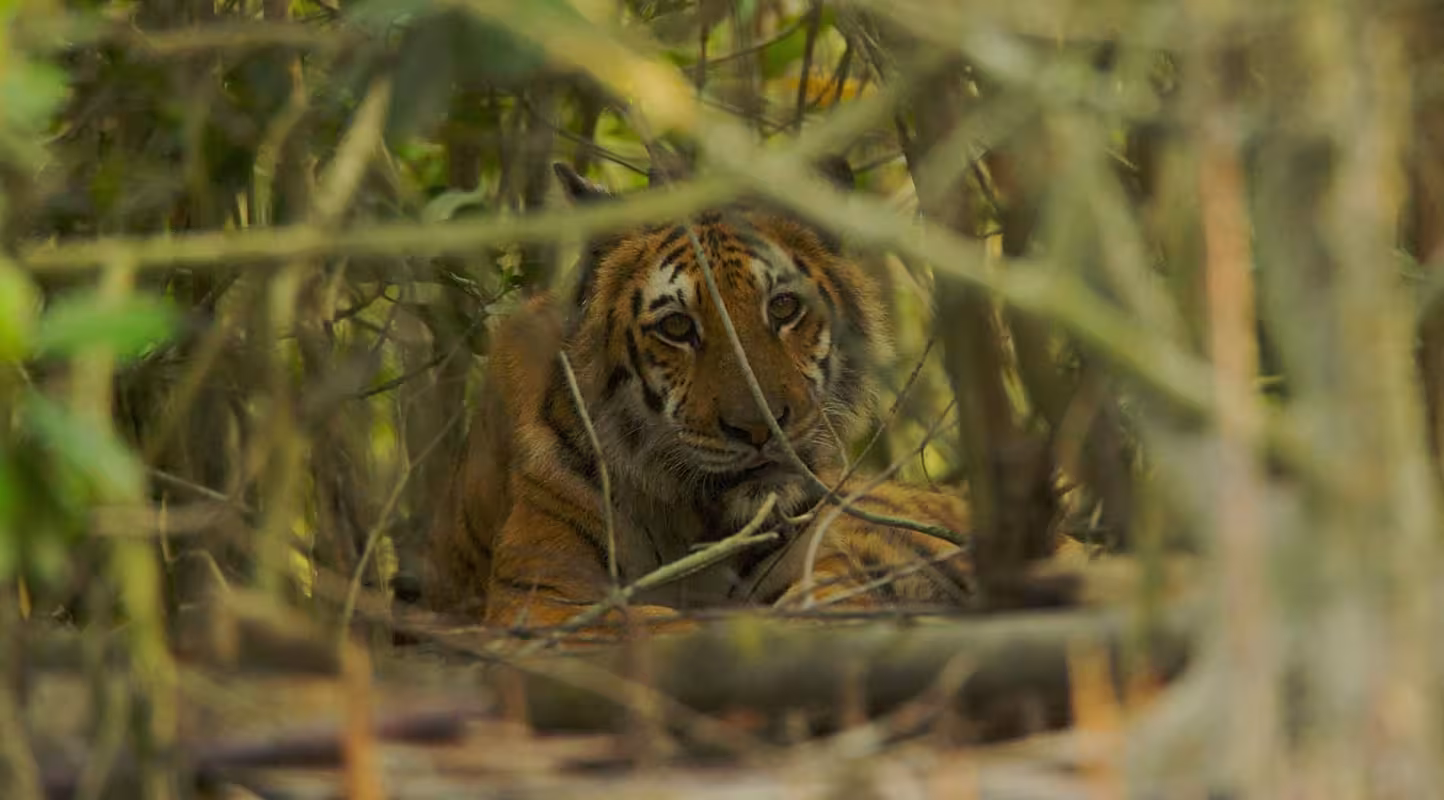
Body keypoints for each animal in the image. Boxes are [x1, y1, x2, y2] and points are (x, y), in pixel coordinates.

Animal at [424, 160, 981, 631]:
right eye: (677, 326)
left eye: (782, 307)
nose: (760, 426)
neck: (693, 516)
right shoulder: (547, 598)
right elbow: (662, 623)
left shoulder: (826, 572)